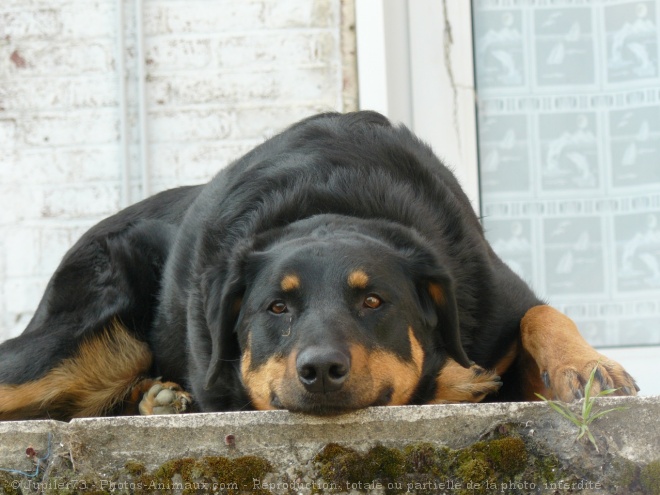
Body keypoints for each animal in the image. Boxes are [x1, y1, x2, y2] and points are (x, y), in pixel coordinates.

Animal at [0, 110, 640, 420]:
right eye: (276, 308)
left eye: (374, 301)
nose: (321, 370)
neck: (332, 202)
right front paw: (459, 382)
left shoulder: (495, 300)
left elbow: (543, 314)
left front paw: (589, 366)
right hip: (75, 343)